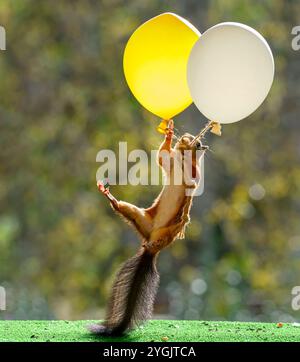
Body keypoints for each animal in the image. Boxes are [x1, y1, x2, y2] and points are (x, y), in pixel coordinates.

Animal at [89, 120, 209, 336]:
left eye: (196, 144)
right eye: (188, 136)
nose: (185, 139)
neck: (182, 163)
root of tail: (150, 245)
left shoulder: (194, 179)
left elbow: (190, 193)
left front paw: (185, 217)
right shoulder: (169, 163)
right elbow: (162, 154)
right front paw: (169, 133)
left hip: (165, 234)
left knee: (163, 236)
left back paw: (173, 229)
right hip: (140, 216)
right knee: (122, 208)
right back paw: (110, 197)